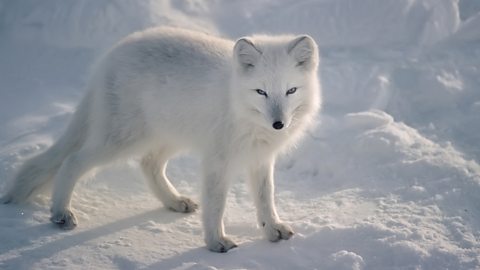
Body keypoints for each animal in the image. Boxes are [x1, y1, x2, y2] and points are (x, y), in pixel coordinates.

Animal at [2, 26, 322, 252]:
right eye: (261, 92)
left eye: (291, 90)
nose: (279, 124)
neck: (238, 106)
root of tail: (110, 56)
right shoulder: (217, 161)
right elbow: (216, 204)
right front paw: (215, 242)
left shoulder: (260, 159)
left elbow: (266, 198)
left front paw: (272, 230)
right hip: (122, 139)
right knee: (73, 160)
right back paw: (60, 212)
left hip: (166, 136)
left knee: (148, 164)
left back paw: (174, 201)